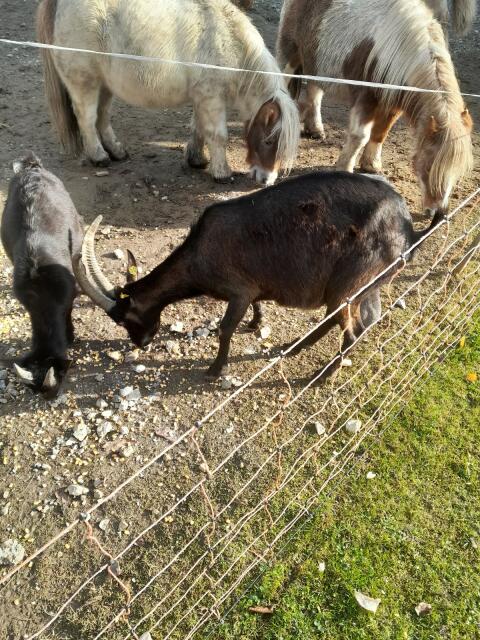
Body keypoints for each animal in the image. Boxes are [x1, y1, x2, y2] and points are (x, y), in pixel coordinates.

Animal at [73, 171, 443, 381]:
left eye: (124, 318)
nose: (142, 342)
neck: (199, 252)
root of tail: (409, 230)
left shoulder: (237, 290)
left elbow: (225, 329)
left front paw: (215, 370)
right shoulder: (252, 287)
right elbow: (257, 306)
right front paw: (255, 323)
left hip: (351, 283)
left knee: (350, 330)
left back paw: (323, 375)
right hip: (368, 284)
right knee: (362, 319)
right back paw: (295, 348)